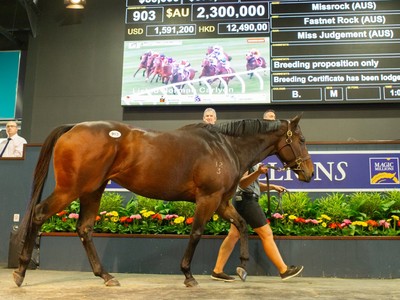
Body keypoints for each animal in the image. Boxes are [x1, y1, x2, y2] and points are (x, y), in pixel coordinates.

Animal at [12, 115, 314, 288]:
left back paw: (106, 276)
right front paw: (188, 275)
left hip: (92, 190)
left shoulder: (221, 202)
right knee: (39, 214)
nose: (309, 173)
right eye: (300, 138)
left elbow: (241, 225)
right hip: (71, 189)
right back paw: (20, 271)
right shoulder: (208, 198)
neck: (224, 146)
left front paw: (241, 266)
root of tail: (74, 127)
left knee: (84, 228)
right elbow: (196, 233)